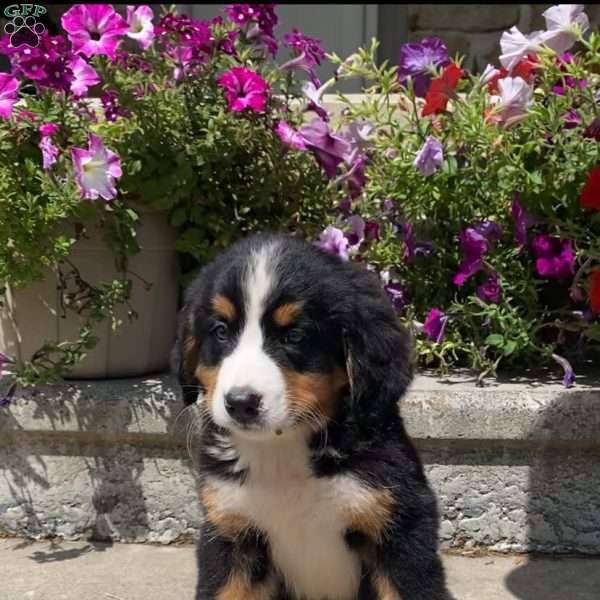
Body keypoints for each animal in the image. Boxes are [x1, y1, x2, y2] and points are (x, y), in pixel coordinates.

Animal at [171, 233, 452, 600]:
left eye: (295, 336)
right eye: (220, 331)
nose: (241, 402)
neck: (282, 451)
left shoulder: (400, 531)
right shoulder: (232, 535)